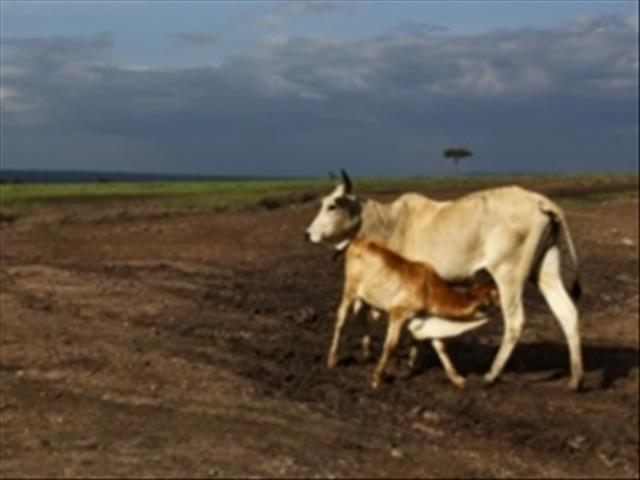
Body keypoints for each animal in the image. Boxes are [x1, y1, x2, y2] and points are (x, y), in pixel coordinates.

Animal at [305, 171, 583, 390]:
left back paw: (491, 375)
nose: (308, 234)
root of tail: (540, 201)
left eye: (332, 205)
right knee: (567, 313)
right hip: (546, 270)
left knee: (515, 322)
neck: (389, 223)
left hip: (508, 276)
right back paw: (576, 379)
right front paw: (407, 359)